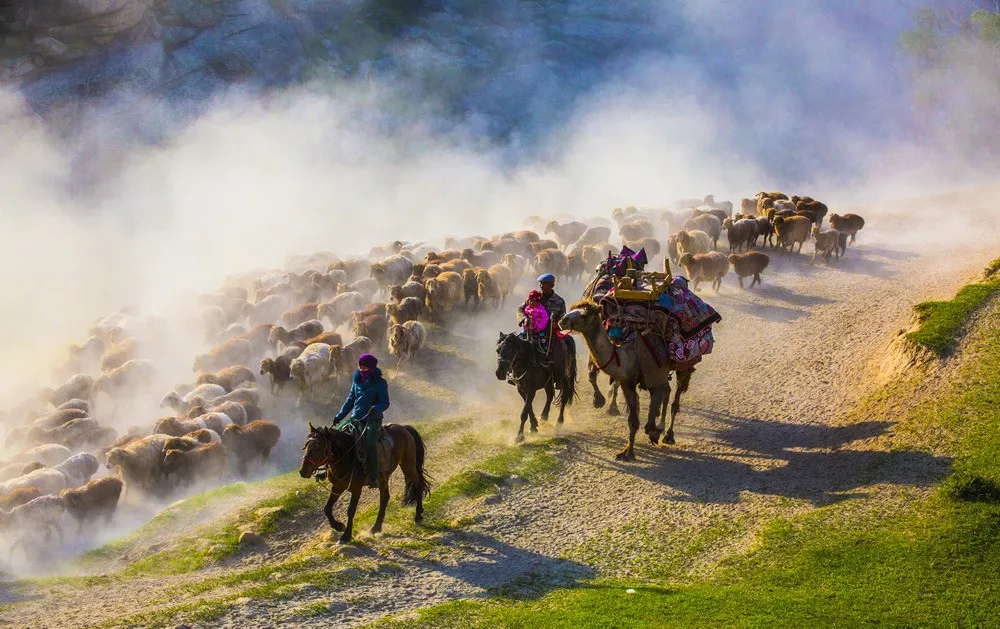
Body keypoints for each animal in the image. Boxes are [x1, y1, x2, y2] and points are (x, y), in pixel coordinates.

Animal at [296, 420, 430, 544]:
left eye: (318, 447)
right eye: (306, 446)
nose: (303, 471)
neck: (347, 456)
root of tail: (404, 428)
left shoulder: (356, 489)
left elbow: (350, 511)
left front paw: (346, 536)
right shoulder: (338, 486)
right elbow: (327, 508)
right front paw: (338, 526)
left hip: (408, 465)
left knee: (418, 484)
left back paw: (418, 515)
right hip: (384, 477)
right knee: (385, 497)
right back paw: (376, 527)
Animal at [560, 302, 692, 458]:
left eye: (584, 315)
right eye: (571, 309)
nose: (562, 321)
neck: (630, 356)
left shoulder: (654, 377)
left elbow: (649, 426)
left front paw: (655, 433)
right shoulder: (628, 382)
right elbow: (633, 421)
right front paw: (627, 452)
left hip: (683, 365)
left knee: (675, 397)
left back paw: (669, 435)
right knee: (668, 391)